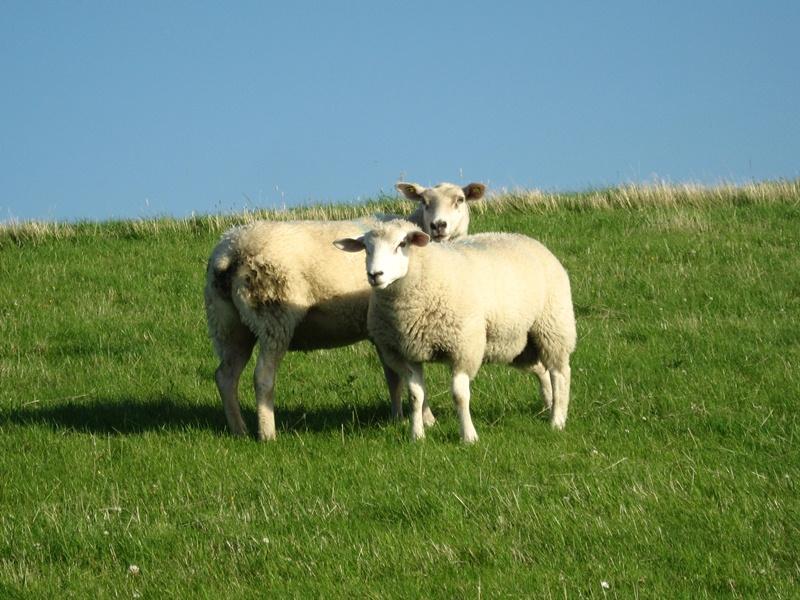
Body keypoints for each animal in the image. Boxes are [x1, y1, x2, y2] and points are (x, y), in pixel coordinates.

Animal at [205, 181, 486, 440]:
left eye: (460, 200)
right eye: (425, 201)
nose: (439, 226)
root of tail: (229, 250)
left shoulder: (382, 330)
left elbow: (393, 375)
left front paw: (396, 417)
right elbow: (405, 376)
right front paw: (427, 420)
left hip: (228, 324)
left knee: (225, 376)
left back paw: (239, 430)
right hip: (273, 315)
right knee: (262, 377)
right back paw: (267, 434)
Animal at [334, 220, 576, 443]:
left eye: (402, 244)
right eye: (366, 248)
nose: (375, 274)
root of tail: (530, 240)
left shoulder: (463, 348)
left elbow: (460, 396)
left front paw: (468, 436)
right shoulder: (408, 352)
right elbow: (415, 396)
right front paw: (417, 435)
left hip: (553, 326)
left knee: (559, 372)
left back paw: (557, 420)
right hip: (518, 344)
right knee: (541, 370)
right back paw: (548, 406)